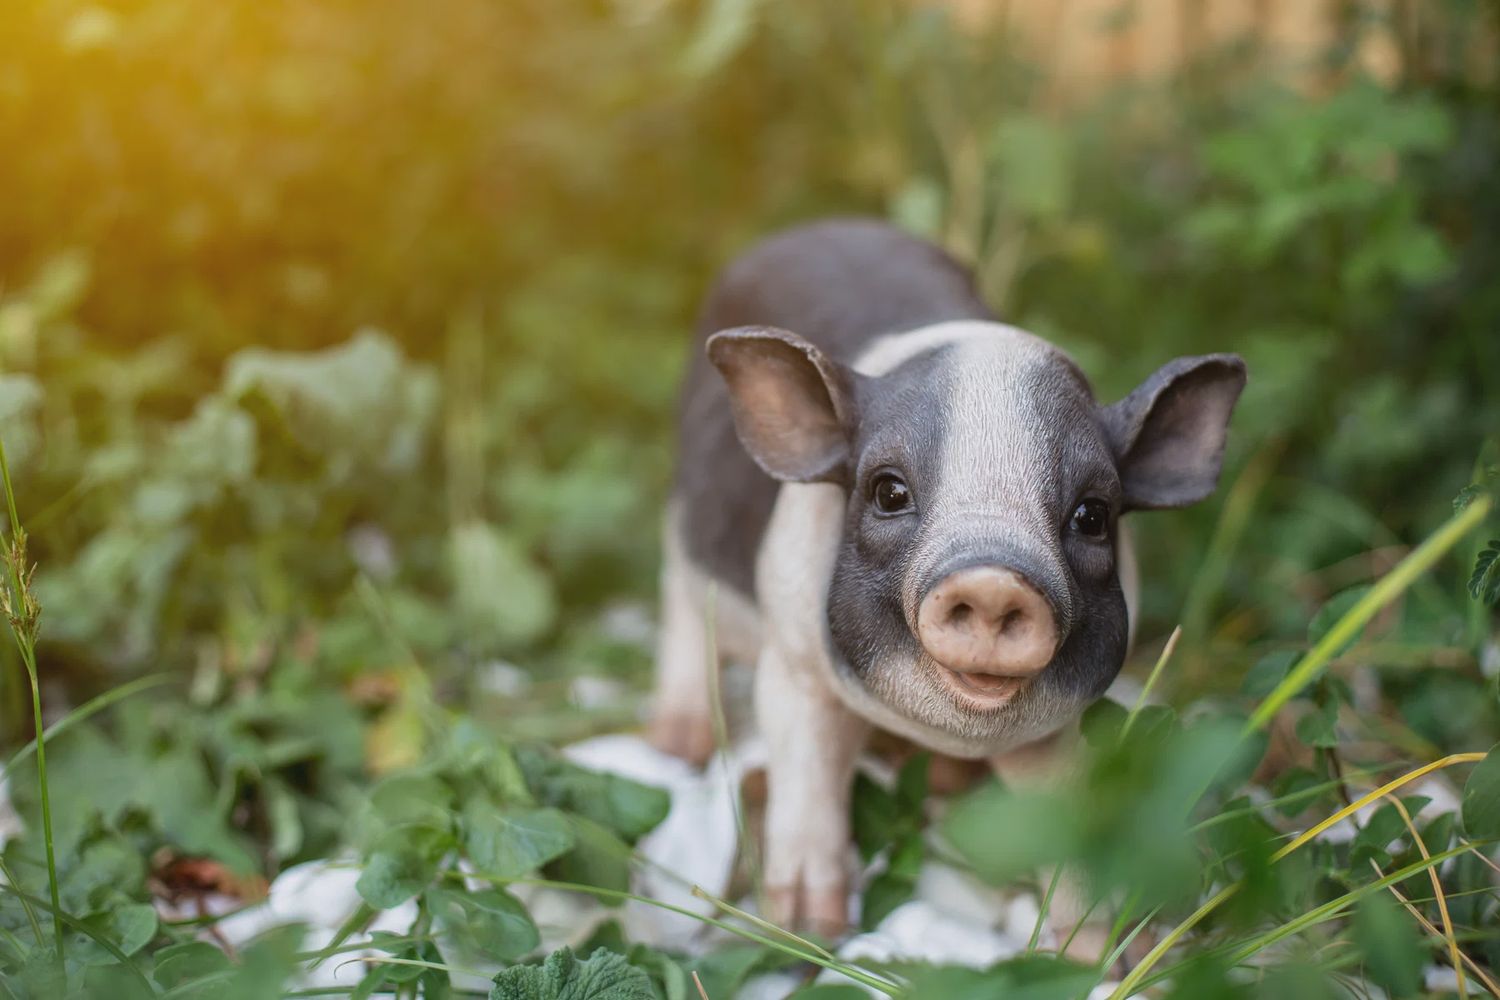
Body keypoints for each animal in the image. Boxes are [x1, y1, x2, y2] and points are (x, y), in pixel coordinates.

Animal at [648, 218, 1246, 943]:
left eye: (1093, 515)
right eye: (888, 491)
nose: (993, 584)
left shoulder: (1059, 728)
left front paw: (1101, 951)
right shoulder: (792, 661)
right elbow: (808, 773)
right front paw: (809, 928)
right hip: (686, 521)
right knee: (680, 592)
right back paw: (676, 745)